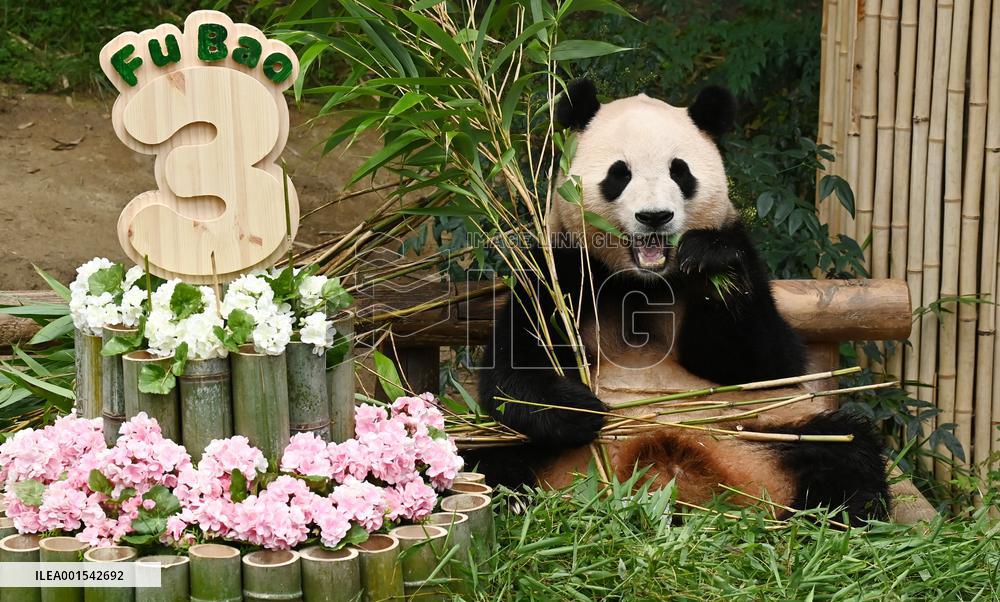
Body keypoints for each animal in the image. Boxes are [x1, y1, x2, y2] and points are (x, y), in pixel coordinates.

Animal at [473, 80, 890, 524]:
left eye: (680, 171)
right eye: (619, 174)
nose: (654, 216)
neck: (644, 282)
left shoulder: (741, 253)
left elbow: (766, 362)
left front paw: (710, 262)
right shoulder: (558, 269)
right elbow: (513, 368)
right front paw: (581, 409)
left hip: (763, 432)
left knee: (847, 446)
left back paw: (837, 513)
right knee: (482, 454)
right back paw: (513, 501)